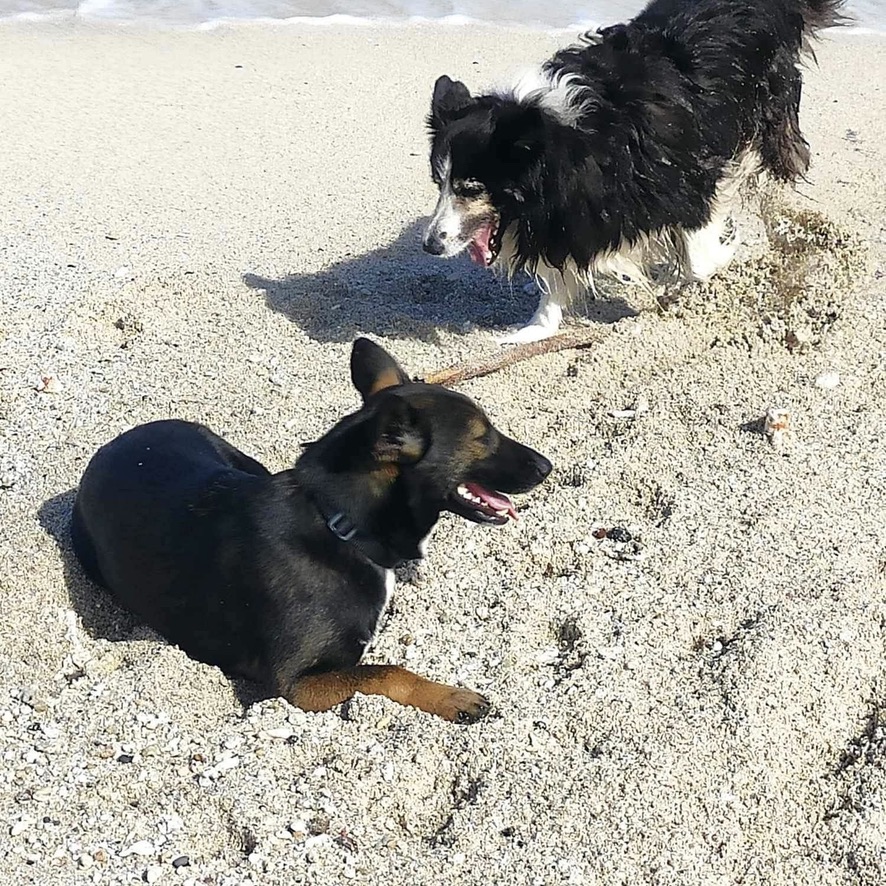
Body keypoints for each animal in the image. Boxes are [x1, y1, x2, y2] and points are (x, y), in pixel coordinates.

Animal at [71, 338, 556, 720]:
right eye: (482, 436)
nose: (547, 466)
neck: (339, 525)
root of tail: (120, 441)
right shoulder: (297, 685)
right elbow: (386, 670)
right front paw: (451, 695)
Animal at [424, 0, 848, 344]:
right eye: (439, 183)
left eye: (470, 188)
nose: (430, 246)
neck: (565, 144)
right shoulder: (573, 214)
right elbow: (558, 272)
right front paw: (533, 330)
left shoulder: (685, 184)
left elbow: (699, 260)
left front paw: (717, 258)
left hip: (769, 110)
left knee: (782, 166)